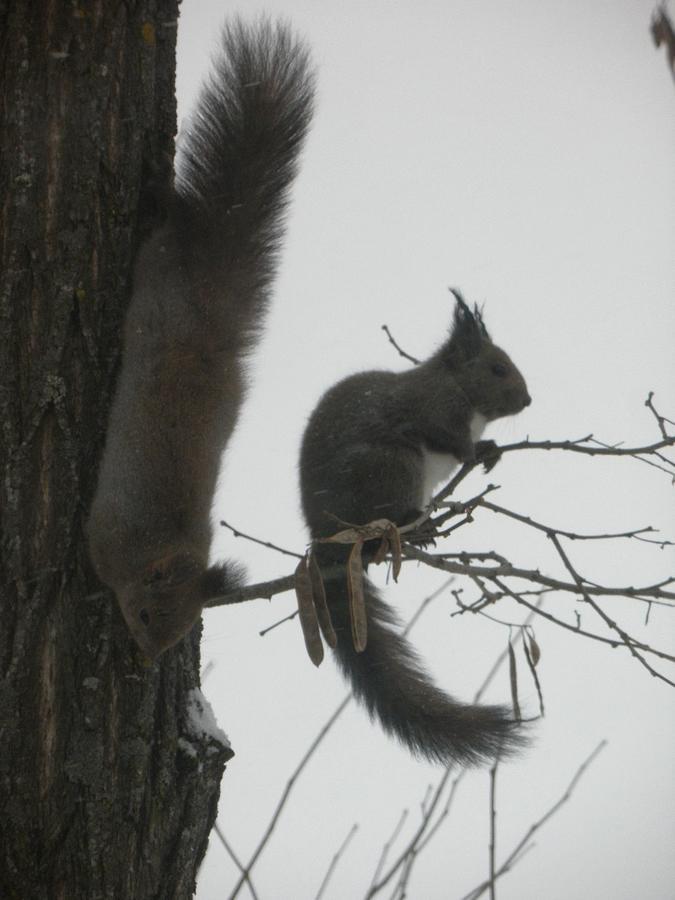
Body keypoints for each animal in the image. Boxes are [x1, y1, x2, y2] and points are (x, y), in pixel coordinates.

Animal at [86, 17, 314, 656]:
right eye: (144, 615)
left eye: (177, 631)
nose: (145, 658)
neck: (157, 548)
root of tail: (212, 325)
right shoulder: (104, 536)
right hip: (159, 273)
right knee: (174, 217)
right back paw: (156, 190)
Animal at [302, 298, 532, 768]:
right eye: (497, 368)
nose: (528, 399)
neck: (461, 390)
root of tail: (322, 533)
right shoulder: (433, 409)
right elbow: (447, 438)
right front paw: (475, 451)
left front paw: (491, 451)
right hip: (394, 466)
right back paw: (414, 526)